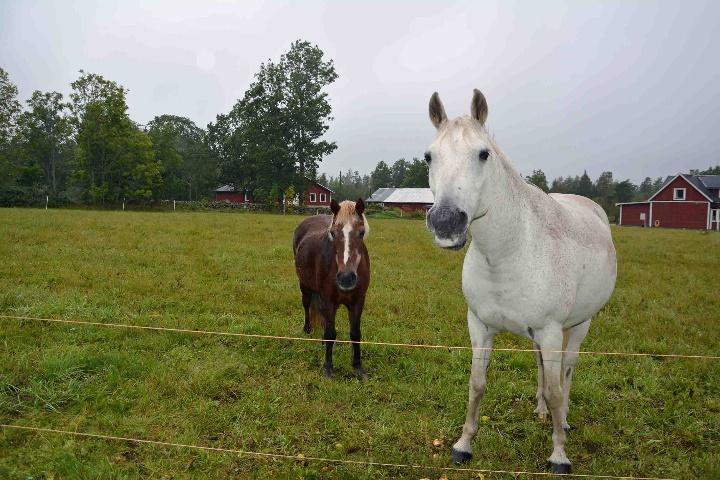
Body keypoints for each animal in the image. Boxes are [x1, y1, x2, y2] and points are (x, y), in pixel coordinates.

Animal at [292, 198, 372, 378]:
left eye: (362, 232)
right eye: (333, 233)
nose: (346, 278)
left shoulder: (358, 302)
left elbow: (355, 334)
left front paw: (358, 367)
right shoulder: (329, 301)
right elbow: (330, 333)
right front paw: (328, 368)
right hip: (305, 286)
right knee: (307, 305)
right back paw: (307, 329)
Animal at [424, 89, 616, 472]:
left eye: (483, 153)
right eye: (429, 156)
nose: (446, 222)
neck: (511, 251)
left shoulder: (551, 330)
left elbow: (557, 388)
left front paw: (559, 455)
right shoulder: (480, 326)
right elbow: (477, 383)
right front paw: (463, 445)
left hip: (579, 325)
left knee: (567, 370)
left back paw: (563, 420)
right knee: (543, 368)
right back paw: (541, 412)